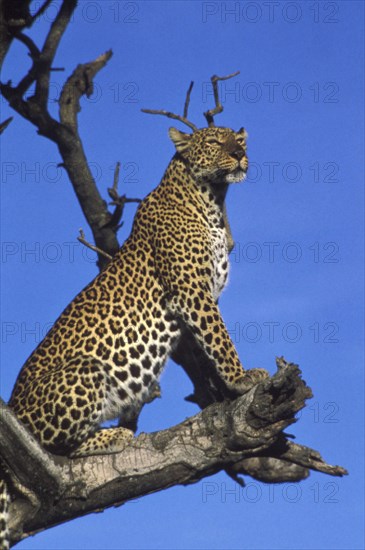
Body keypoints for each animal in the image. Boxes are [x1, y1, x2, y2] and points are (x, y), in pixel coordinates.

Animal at [0, 125, 268, 550]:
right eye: (213, 141)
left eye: (238, 141)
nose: (239, 155)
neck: (212, 199)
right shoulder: (192, 293)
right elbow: (220, 338)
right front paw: (242, 379)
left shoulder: (194, 302)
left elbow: (206, 349)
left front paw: (223, 393)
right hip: (85, 371)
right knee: (51, 449)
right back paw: (115, 435)